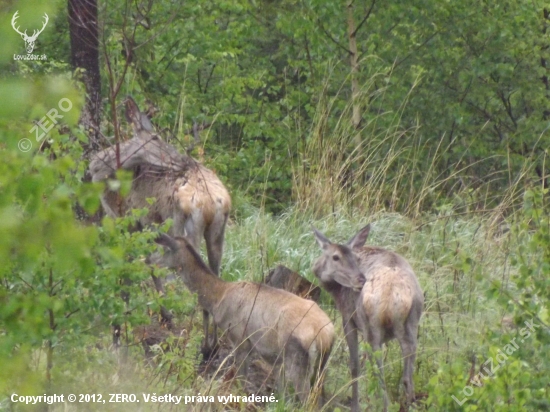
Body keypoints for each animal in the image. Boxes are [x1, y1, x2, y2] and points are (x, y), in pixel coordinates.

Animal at [89, 97, 232, 354]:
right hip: (218, 231)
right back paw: (212, 344)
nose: (180, 159)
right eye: (155, 137)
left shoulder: (127, 219)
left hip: (181, 224)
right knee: (215, 272)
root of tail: (211, 201)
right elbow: (146, 261)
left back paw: (201, 343)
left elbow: (136, 264)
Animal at [149, 233, 334, 404]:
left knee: (306, 398)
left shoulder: (239, 338)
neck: (218, 300)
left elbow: (241, 381)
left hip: (297, 357)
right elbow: (279, 392)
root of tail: (326, 335)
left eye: (165, 249)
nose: (149, 261)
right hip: (319, 365)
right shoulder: (270, 356)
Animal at [312, 225, 424, 412]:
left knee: (380, 373)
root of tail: (394, 293)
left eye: (355, 258)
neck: (335, 290)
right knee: (407, 376)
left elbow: (355, 365)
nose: (360, 279)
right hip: (412, 323)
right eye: (336, 257)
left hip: (371, 325)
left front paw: (355, 405)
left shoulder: (348, 317)